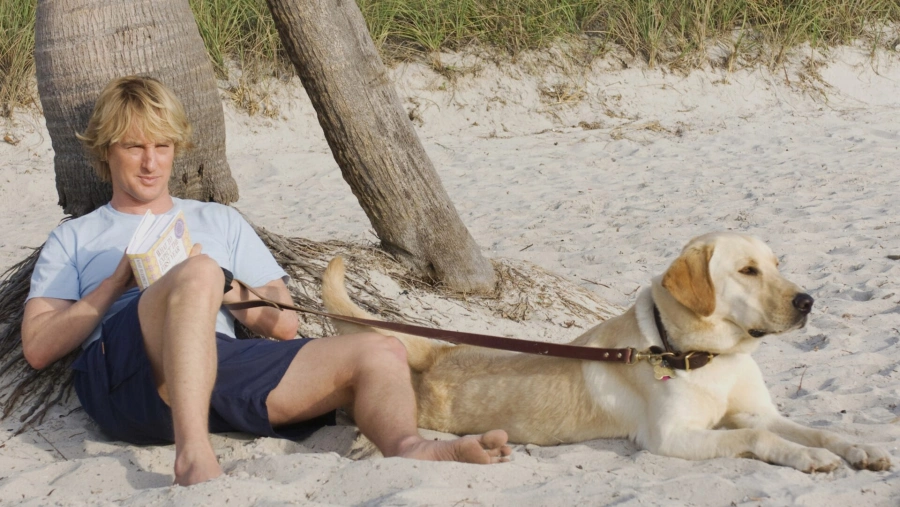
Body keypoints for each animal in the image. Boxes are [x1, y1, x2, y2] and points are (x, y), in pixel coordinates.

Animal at [321, 232, 891, 472]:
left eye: (776, 264)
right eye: (747, 271)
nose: (808, 302)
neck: (705, 357)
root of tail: (440, 351)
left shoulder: (758, 411)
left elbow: (813, 429)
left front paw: (856, 448)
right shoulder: (671, 438)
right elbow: (757, 438)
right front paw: (810, 458)